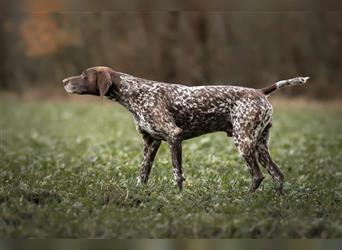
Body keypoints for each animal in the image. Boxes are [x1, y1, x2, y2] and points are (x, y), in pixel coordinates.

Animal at [62, 66, 310, 193]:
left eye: (83, 74)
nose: (64, 81)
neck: (134, 93)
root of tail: (259, 91)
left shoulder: (174, 136)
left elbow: (177, 173)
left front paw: (178, 199)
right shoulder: (151, 142)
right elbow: (143, 173)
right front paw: (138, 197)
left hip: (244, 142)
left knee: (258, 176)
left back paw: (246, 200)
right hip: (259, 145)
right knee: (277, 175)